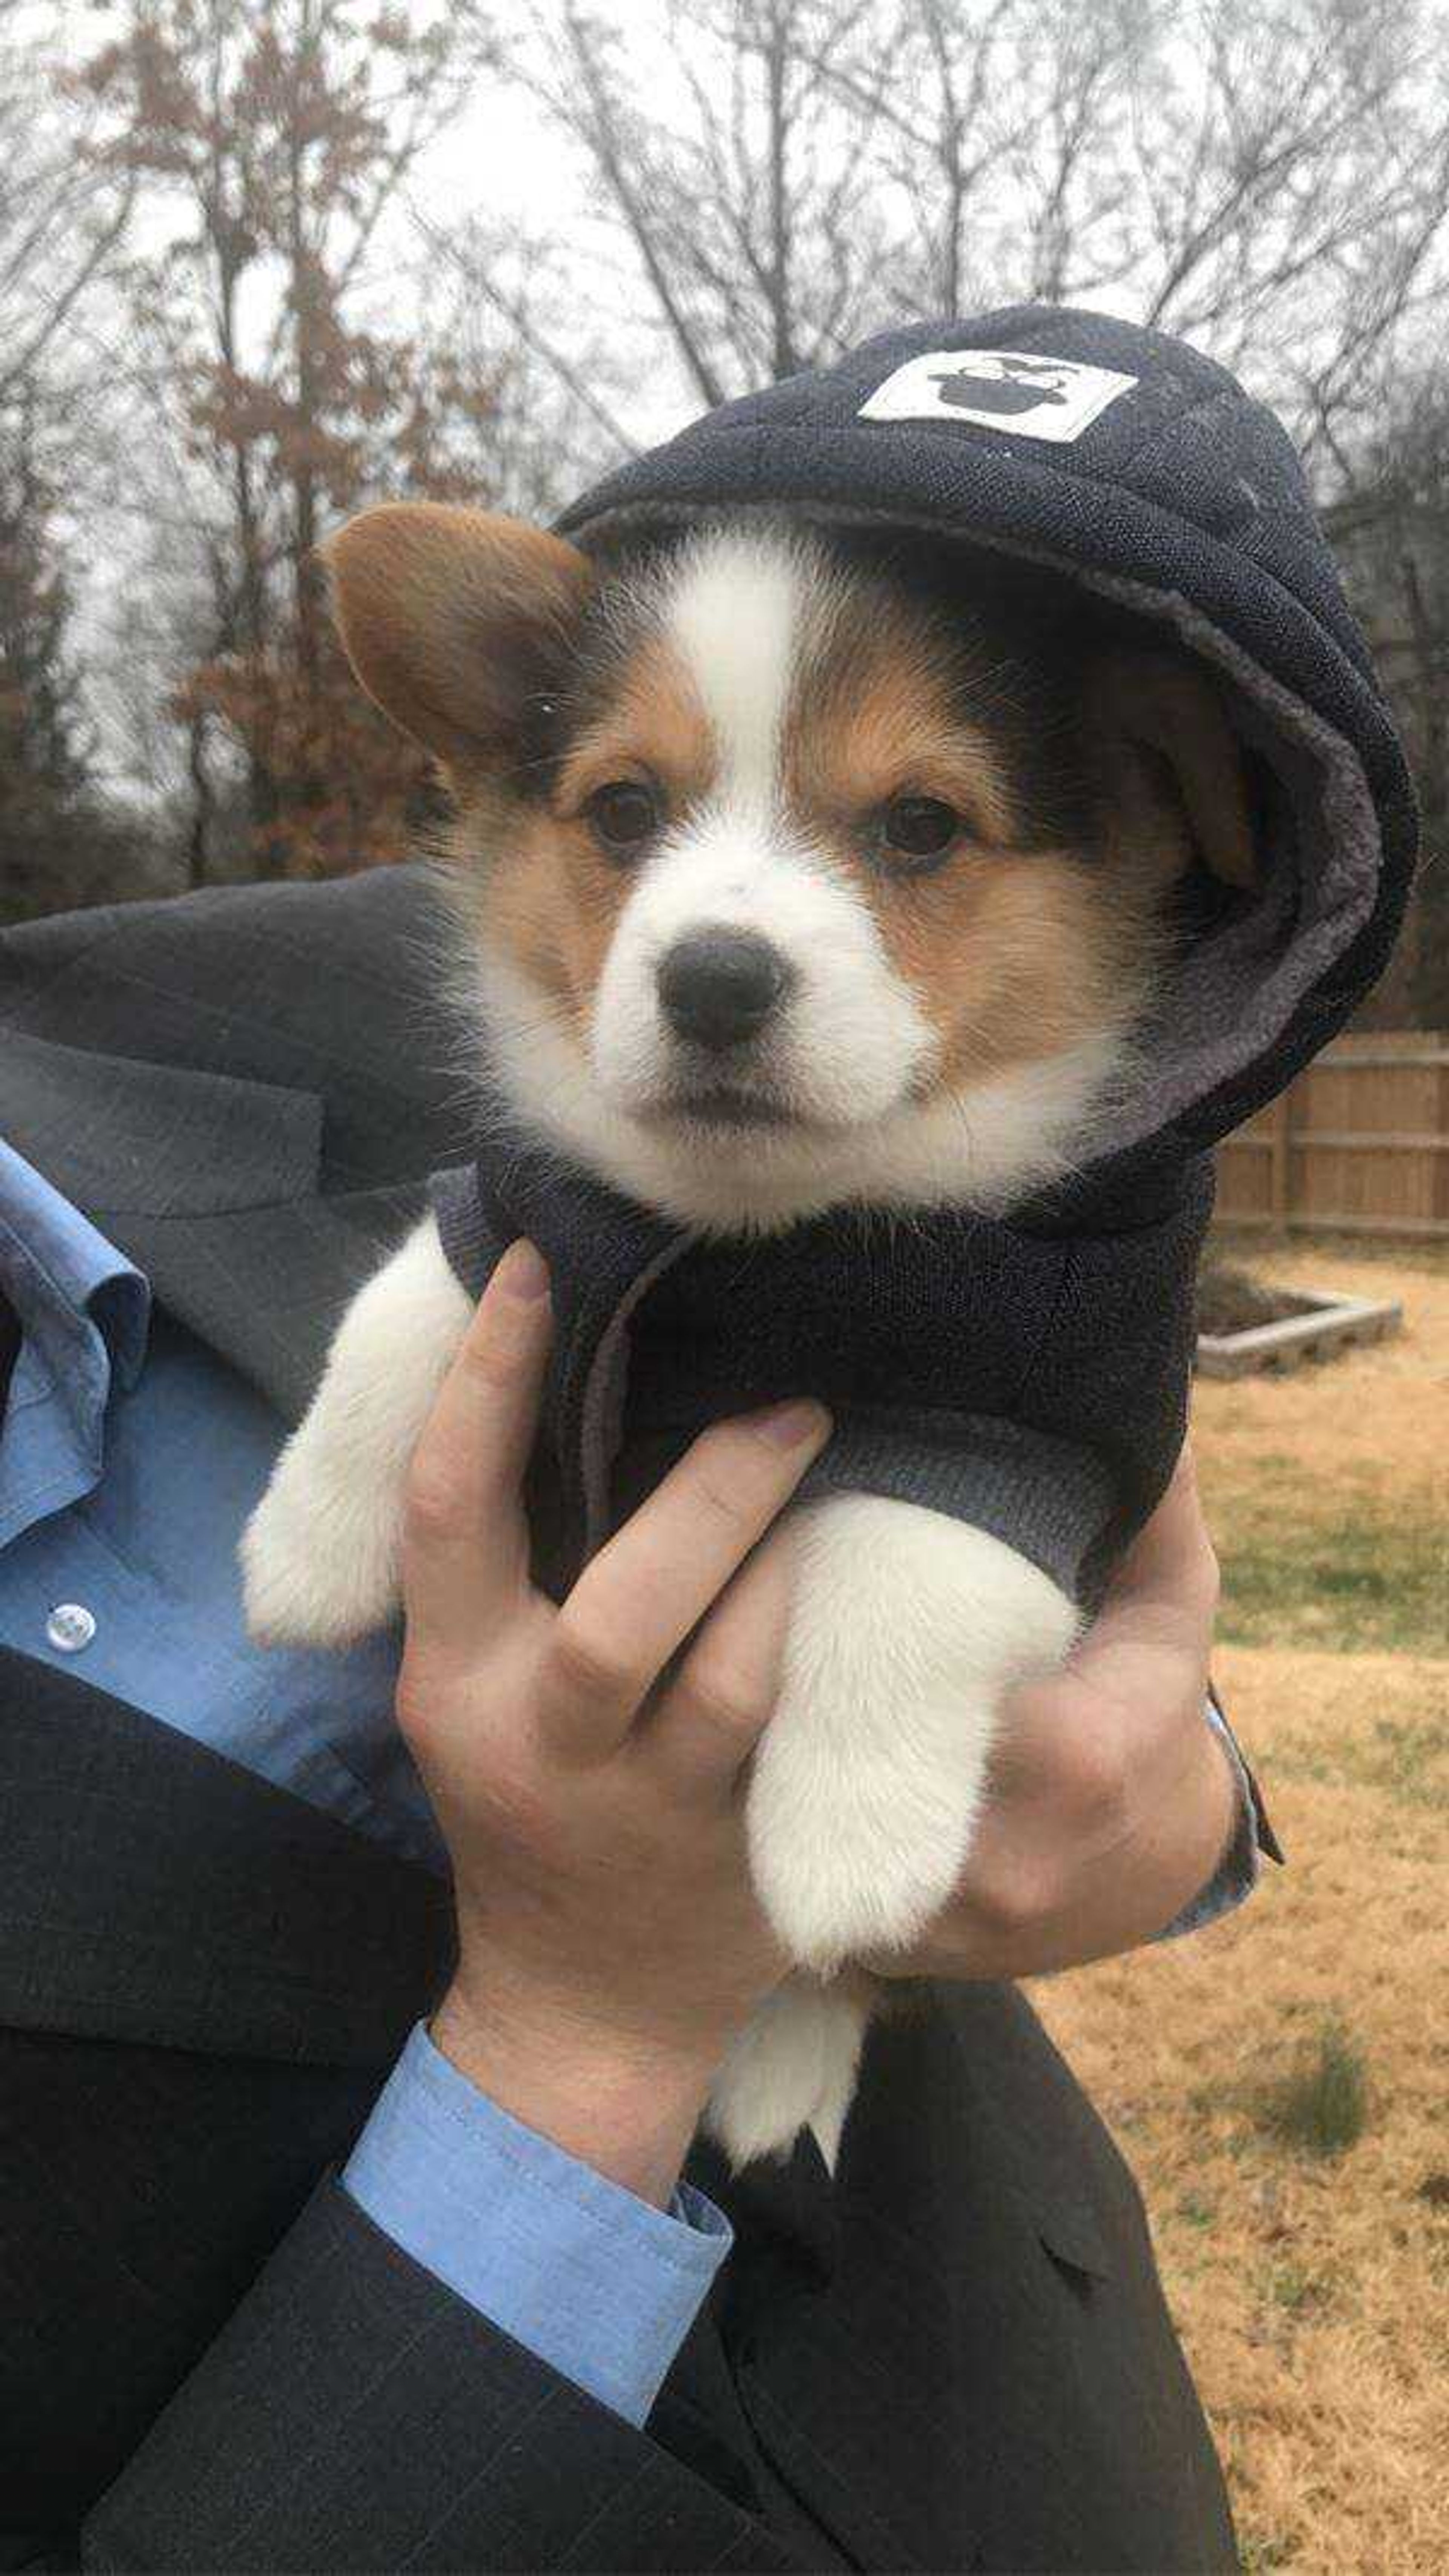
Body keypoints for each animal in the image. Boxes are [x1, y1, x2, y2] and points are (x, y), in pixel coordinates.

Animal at [242, 502, 1248, 2174]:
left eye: (921, 825)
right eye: (625, 807)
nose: (712, 978)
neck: (746, 1244)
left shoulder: (1046, 1418)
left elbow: (913, 1552)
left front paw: (847, 1836)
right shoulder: (534, 1214)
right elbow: (407, 1298)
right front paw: (306, 1549)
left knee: (851, 1987)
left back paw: (785, 2054)